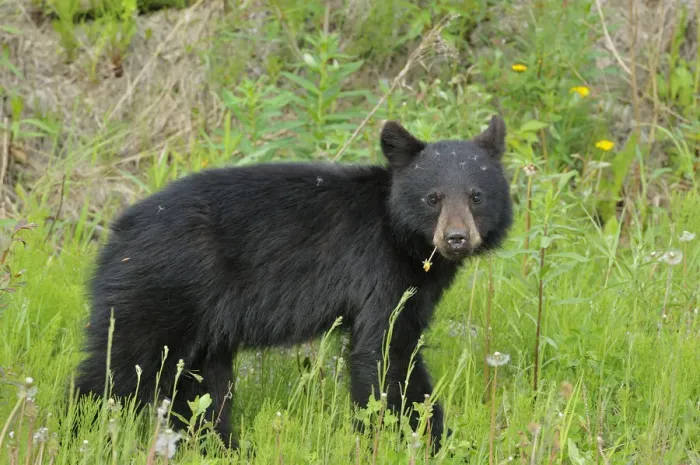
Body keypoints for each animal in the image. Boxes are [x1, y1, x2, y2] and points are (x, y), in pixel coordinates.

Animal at [73, 115, 513, 455]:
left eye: (476, 196)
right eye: (432, 198)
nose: (456, 238)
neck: (402, 236)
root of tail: (118, 232)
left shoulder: (416, 287)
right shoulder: (379, 271)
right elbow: (385, 352)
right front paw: (425, 439)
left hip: (203, 324)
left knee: (201, 388)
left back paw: (227, 448)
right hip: (161, 289)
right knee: (118, 368)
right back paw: (81, 432)